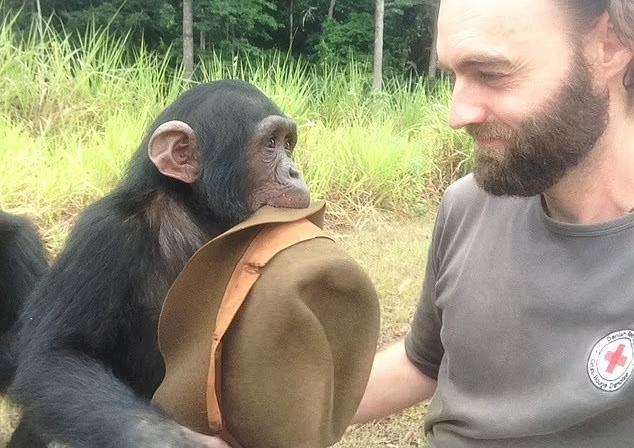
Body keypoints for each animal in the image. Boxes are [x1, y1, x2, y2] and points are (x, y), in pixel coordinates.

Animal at [6, 81, 308, 448]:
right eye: (270, 144)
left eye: (288, 144)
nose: (294, 171)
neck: (195, 214)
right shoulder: (105, 236)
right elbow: (55, 357)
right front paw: (181, 440)